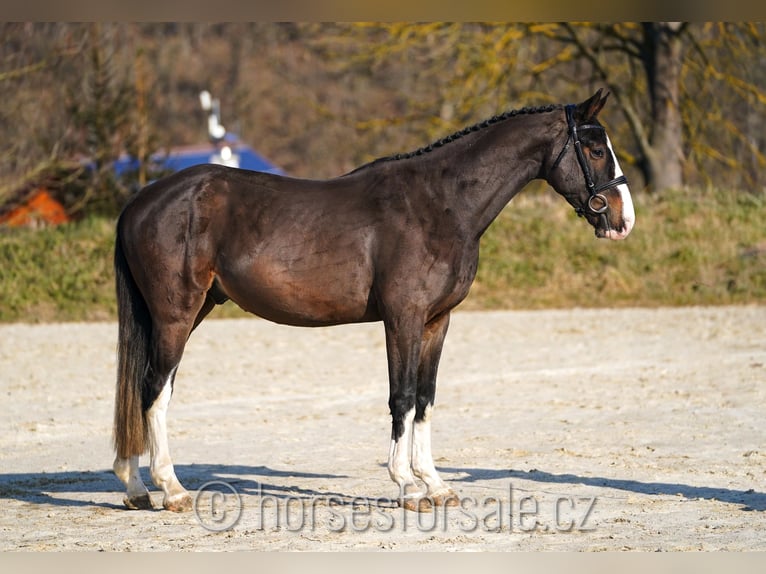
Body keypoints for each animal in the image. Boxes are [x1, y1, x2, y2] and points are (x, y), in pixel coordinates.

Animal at [109, 90, 636, 512]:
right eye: (594, 147)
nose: (623, 220)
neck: (440, 204)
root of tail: (139, 201)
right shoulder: (402, 318)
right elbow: (400, 396)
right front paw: (407, 486)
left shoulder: (436, 321)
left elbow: (424, 398)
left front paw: (436, 485)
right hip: (176, 314)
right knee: (154, 389)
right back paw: (171, 490)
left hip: (190, 311)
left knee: (141, 388)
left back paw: (135, 489)